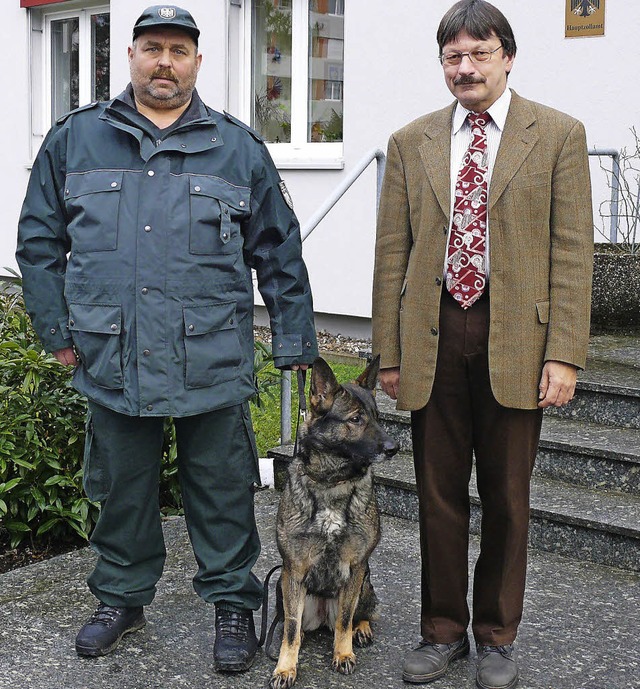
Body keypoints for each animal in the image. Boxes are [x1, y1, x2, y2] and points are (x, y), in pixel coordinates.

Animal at [270, 358, 400, 684]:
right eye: (355, 419)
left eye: (378, 418)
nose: (394, 448)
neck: (332, 483)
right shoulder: (294, 571)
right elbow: (291, 629)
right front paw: (285, 666)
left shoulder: (355, 568)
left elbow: (344, 620)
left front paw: (343, 653)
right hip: (281, 585)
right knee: (295, 625)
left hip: (365, 584)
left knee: (356, 615)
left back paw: (361, 629)